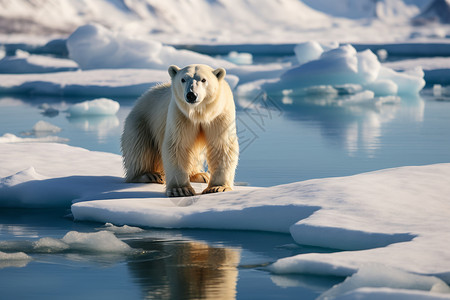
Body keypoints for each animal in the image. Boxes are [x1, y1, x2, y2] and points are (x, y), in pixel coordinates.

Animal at [119, 63, 239, 197]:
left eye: (203, 79)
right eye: (183, 79)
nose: (191, 95)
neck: (199, 114)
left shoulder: (220, 115)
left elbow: (222, 146)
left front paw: (217, 187)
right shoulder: (180, 114)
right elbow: (178, 145)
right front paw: (180, 190)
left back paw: (200, 175)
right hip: (141, 121)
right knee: (139, 147)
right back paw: (149, 175)